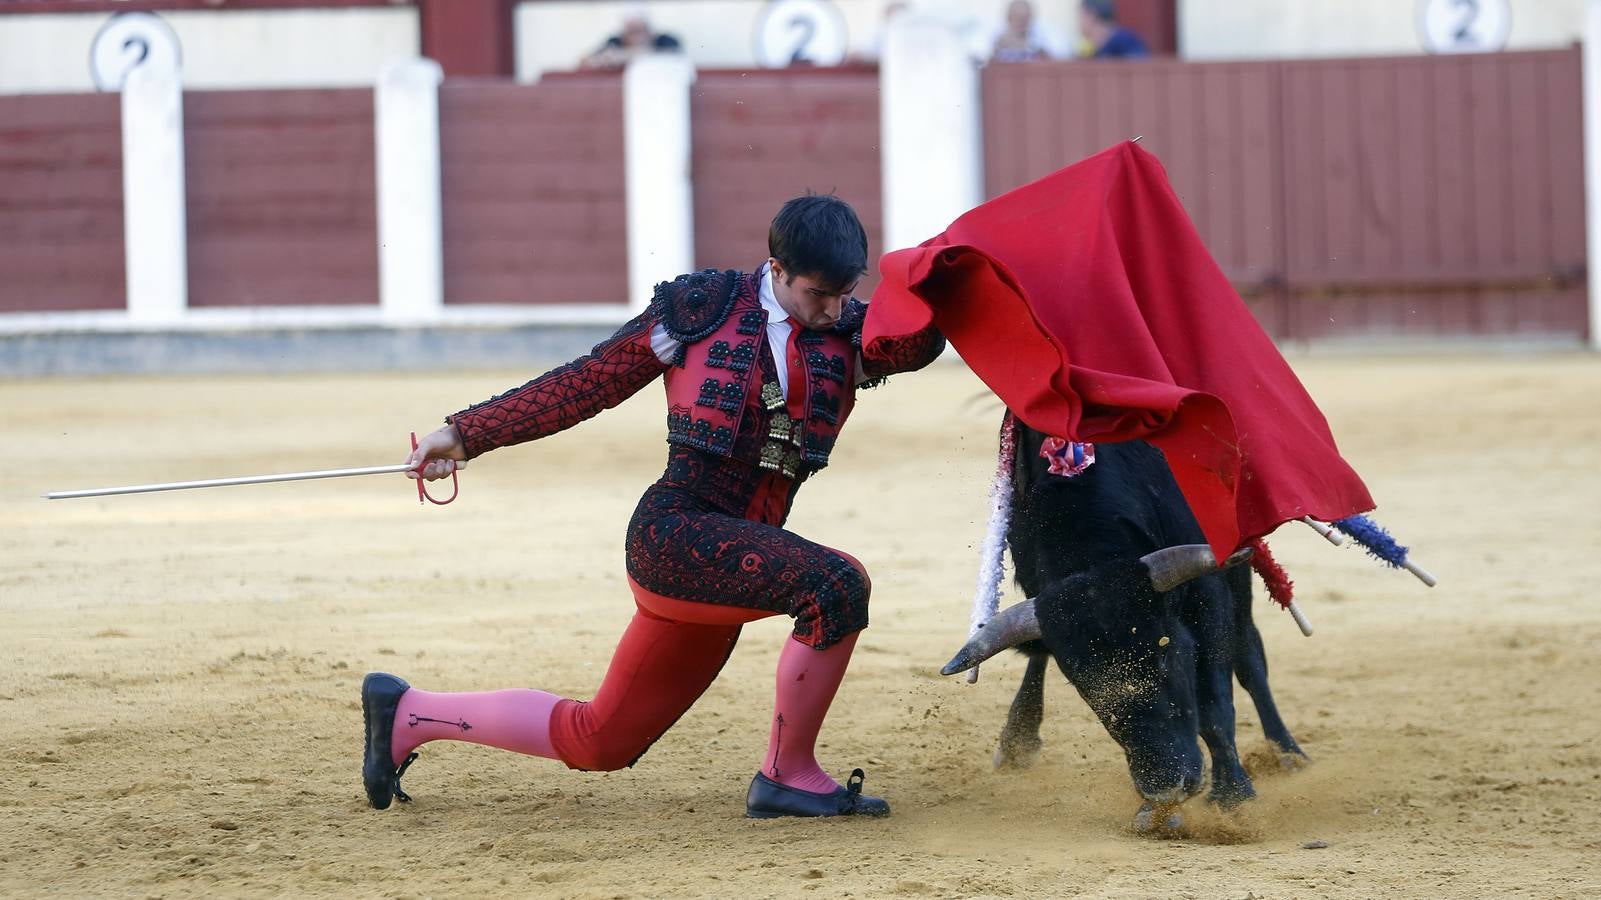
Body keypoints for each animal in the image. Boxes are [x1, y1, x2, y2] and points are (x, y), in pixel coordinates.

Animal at [941, 422, 1306, 832]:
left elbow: (1215, 702)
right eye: (1083, 686)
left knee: (1249, 655)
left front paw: (1234, 797)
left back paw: (1288, 754)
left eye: (1166, 654)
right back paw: (1016, 741)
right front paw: (1158, 811)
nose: (1165, 786)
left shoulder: (1208, 591)